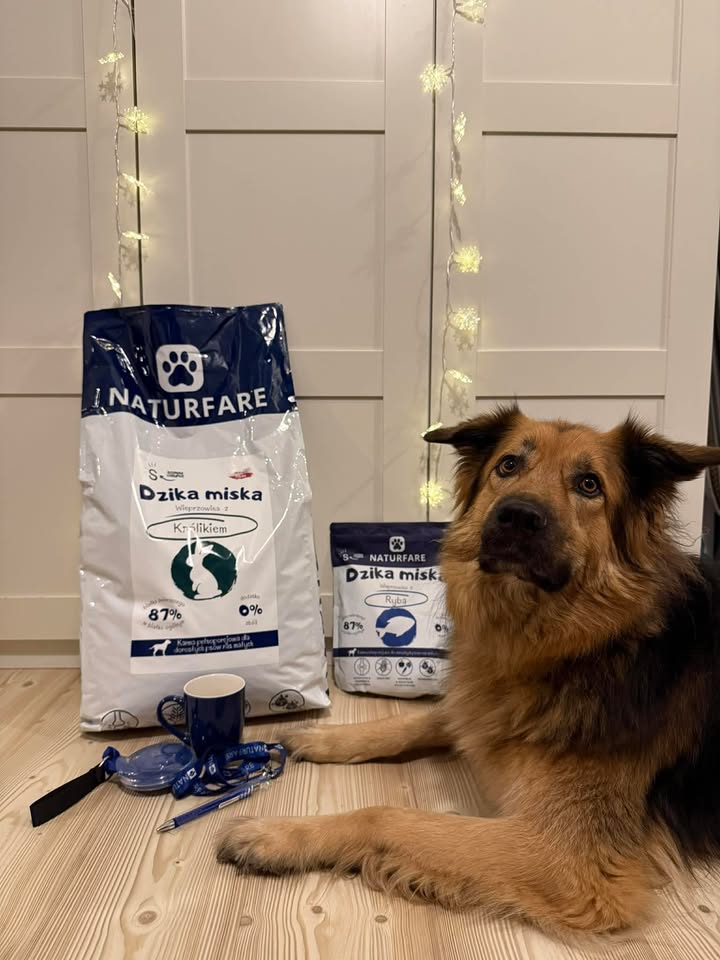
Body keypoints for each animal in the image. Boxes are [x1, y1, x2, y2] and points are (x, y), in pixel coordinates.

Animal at [217, 406, 720, 936]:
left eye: (589, 484)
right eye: (508, 465)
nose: (517, 516)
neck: (584, 644)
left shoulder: (566, 857)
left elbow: (386, 816)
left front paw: (277, 834)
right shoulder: (483, 706)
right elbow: (415, 722)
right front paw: (325, 737)